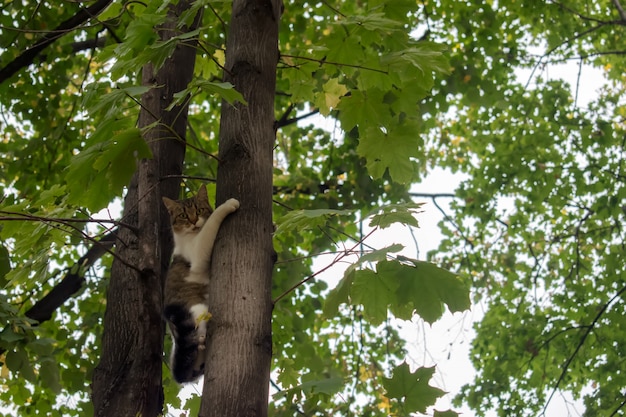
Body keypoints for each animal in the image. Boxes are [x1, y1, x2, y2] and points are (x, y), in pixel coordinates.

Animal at [161, 185, 239, 384]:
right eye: (183, 215)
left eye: (198, 210)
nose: (194, 221)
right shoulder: (197, 253)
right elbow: (212, 221)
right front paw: (228, 204)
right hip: (198, 311)